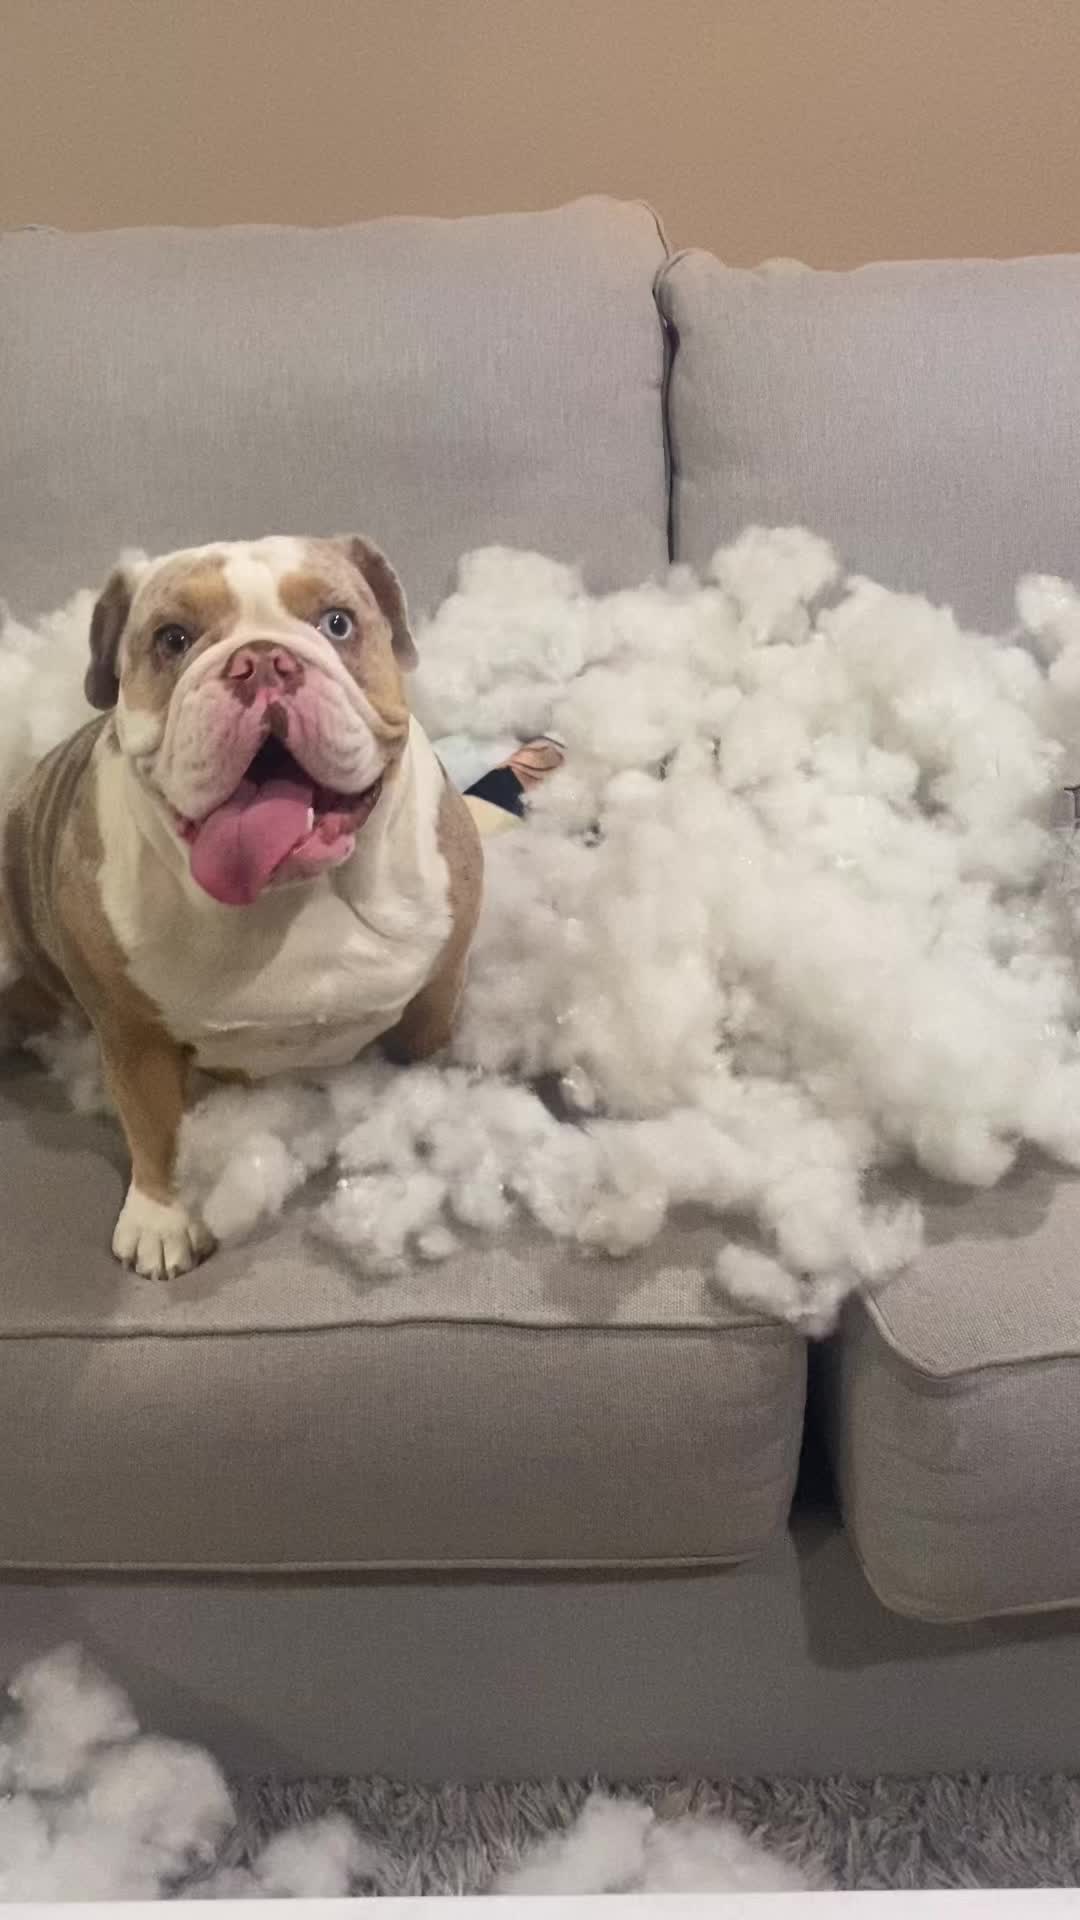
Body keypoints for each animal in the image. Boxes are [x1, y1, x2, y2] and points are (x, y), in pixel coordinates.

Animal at [0, 535, 482, 1280]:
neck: (296, 896)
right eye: (172, 638)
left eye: (337, 623)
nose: (261, 660)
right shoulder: (132, 1035)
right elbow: (154, 1124)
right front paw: (160, 1219)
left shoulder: (436, 992)